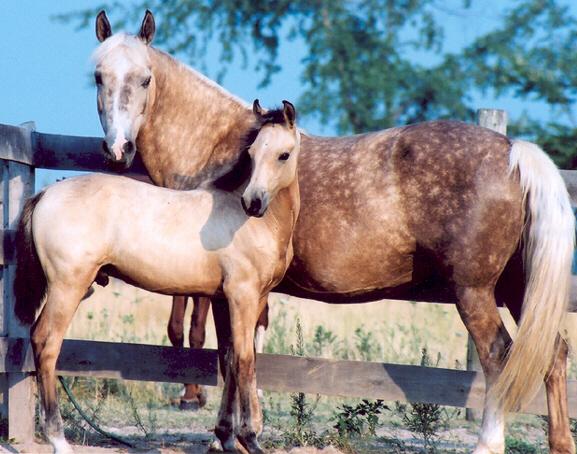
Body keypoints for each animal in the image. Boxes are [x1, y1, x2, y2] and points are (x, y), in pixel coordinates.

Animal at [90, 10, 572, 454]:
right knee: (554, 352)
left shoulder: (226, 290)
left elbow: (230, 355)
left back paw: (488, 442)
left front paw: (228, 436)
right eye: (98, 77)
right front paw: (233, 435)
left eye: (145, 79)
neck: (217, 146)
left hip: (474, 291)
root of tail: (513, 151)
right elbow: (236, 354)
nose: (118, 149)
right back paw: (561, 442)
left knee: (497, 356)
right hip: (517, 286)